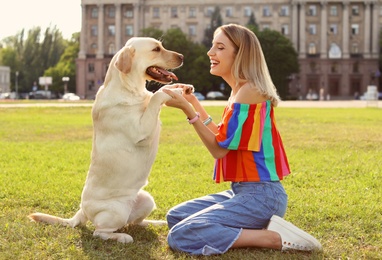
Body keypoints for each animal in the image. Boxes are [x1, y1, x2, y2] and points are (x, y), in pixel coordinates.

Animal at [28, 37, 185, 244]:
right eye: (156, 49)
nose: (182, 56)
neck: (130, 89)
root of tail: (81, 211)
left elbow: (153, 96)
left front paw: (180, 88)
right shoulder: (141, 129)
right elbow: (154, 98)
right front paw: (169, 92)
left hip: (146, 199)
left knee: (135, 222)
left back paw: (155, 223)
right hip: (117, 211)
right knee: (100, 232)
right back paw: (123, 237)